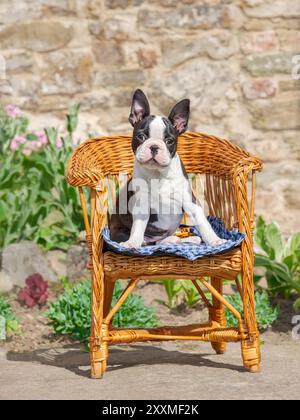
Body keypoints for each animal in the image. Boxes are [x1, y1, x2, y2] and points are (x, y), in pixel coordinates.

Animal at [109, 87, 225, 248]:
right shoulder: (141, 204)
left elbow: (203, 223)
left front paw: (214, 240)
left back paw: (184, 239)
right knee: (152, 243)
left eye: (169, 140)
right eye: (141, 137)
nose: (154, 146)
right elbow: (138, 227)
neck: (158, 174)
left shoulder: (190, 201)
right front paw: (132, 243)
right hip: (119, 232)